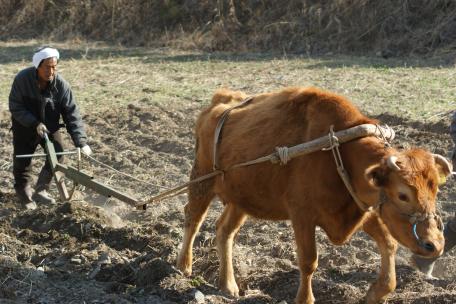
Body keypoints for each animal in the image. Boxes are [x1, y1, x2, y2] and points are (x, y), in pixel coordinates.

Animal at [175, 86, 452, 302]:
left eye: (436, 190)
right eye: (403, 194)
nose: (435, 245)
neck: (339, 154)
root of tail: (219, 102)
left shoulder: (364, 207)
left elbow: (389, 244)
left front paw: (376, 292)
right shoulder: (302, 216)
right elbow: (309, 261)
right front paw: (304, 298)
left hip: (242, 199)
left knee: (224, 230)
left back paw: (228, 284)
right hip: (201, 181)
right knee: (193, 219)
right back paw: (183, 267)